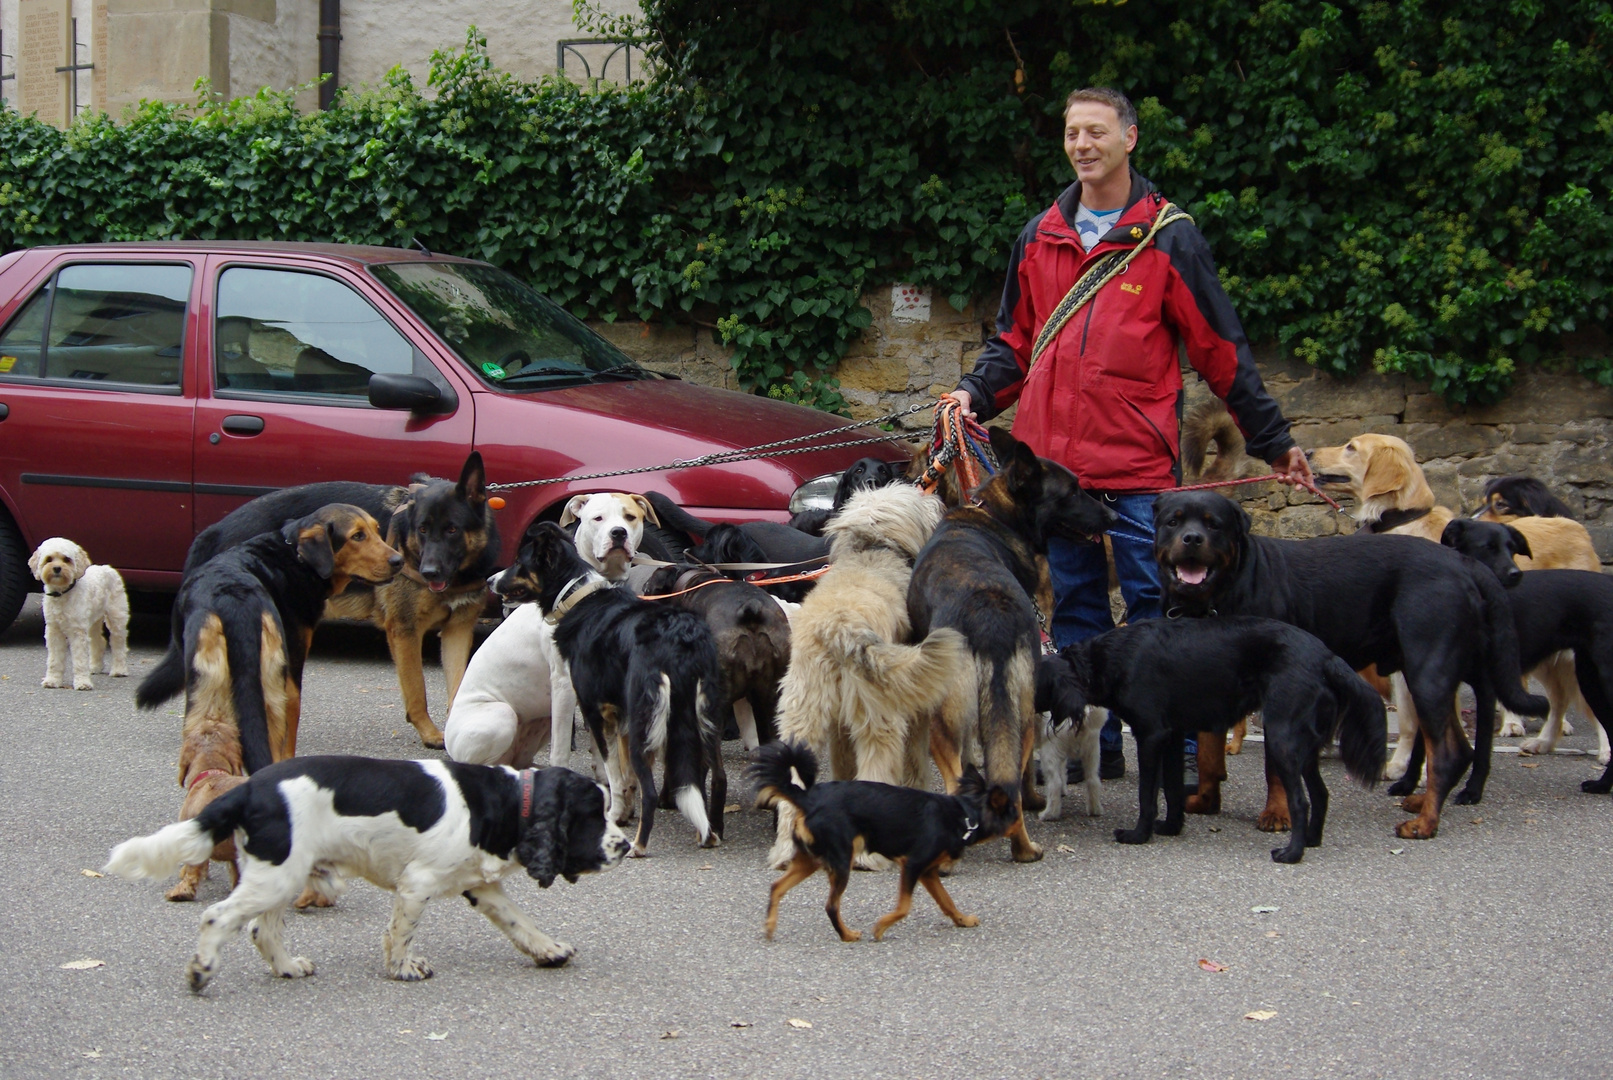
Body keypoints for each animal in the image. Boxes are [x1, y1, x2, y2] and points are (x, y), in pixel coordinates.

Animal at [28, 538, 129, 689]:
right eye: (49, 559)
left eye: (66, 559)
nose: (57, 568)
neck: (62, 594)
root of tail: (107, 568)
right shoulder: (54, 632)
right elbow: (54, 660)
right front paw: (52, 680)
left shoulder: (77, 632)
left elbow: (80, 660)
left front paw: (82, 682)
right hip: (93, 621)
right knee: (99, 641)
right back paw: (95, 667)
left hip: (116, 618)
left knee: (118, 643)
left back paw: (119, 670)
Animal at [175, 451, 490, 747]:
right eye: (422, 530)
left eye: (452, 530)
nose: (427, 571)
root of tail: (213, 531)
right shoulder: (404, 631)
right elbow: (417, 690)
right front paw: (430, 733)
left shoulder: (457, 630)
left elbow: (459, 683)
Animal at [748, 741, 987, 941]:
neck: (961, 814)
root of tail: (808, 799)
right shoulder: (913, 865)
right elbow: (904, 906)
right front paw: (881, 927)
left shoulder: (927, 872)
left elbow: (947, 900)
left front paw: (963, 920)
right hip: (841, 861)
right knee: (831, 906)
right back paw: (847, 935)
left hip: (809, 860)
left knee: (777, 887)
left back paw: (770, 926)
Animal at [909, 428, 1122, 870]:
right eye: (1072, 491)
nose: (1114, 520)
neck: (993, 514)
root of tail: (988, 611)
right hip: (1018, 716)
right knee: (1009, 782)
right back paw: (1022, 847)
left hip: (962, 720)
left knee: (971, 780)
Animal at [1154, 493, 1542, 844]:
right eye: (1173, 521)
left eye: (1214, 524)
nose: (1192, 538)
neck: (1216, 597)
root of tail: (1463, 562)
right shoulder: (1208, 678)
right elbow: (1208, 752)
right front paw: (1204, 801)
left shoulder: (1278, 686)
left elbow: (1273, 765)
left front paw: (1276, 813)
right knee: (1459, 748)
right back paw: (1421, 802)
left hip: (1429, 671)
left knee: (1444, 754)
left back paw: (1424, 824)